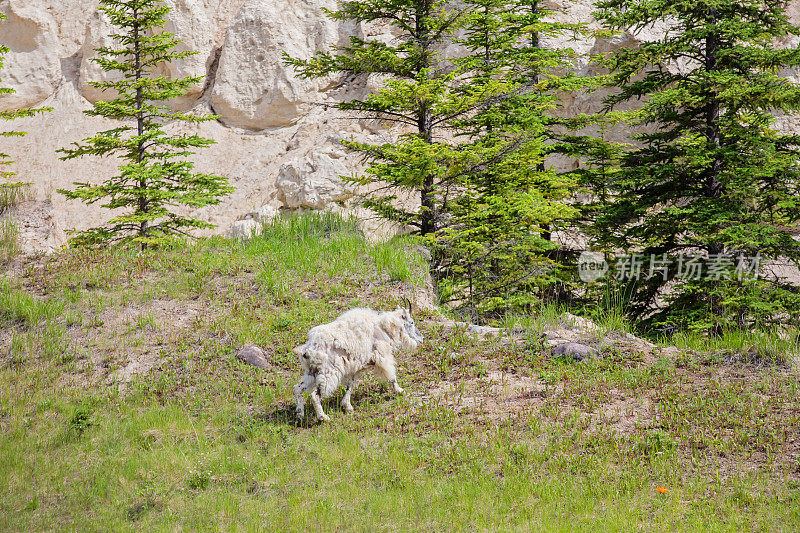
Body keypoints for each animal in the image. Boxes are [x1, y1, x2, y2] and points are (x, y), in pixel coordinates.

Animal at [290, 302, 422, 422]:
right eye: (411, 322)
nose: (421, 338)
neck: (383, 328)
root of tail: (308, 351)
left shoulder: (354, 368)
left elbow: (350, 385)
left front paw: (347, 406)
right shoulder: (382, 357)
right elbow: (391, 376)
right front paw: (400, 391)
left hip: (312, 372)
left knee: (297, 388)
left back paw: (300, 415)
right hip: (327, 373)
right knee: (315, 396)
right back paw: (323, 418)